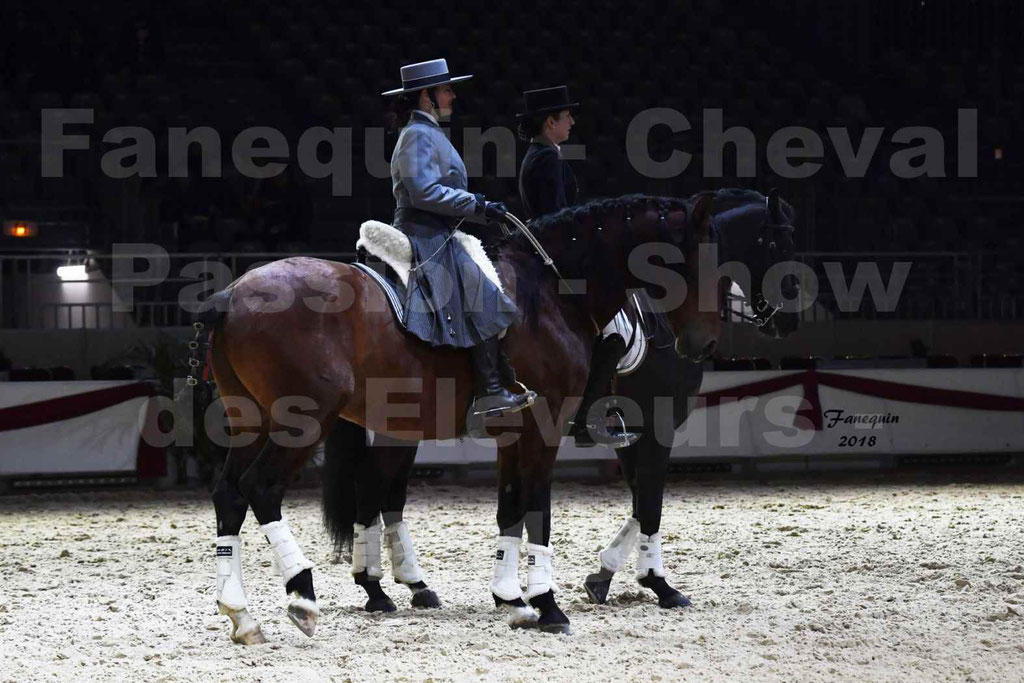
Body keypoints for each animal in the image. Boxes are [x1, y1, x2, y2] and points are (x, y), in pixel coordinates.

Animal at [201, 193, 720, 647]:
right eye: (697, 262)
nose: (703, 344)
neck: (551, 294)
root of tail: (234, 291)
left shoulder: (516, 431)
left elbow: (511, 509)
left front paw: (513, 600)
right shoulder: (553, 424)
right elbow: (552, 508)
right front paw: (551, 605)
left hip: (255, 420)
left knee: (231, 495)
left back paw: (244, 616)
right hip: (304, 420)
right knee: (264, 489)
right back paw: (304, 595)